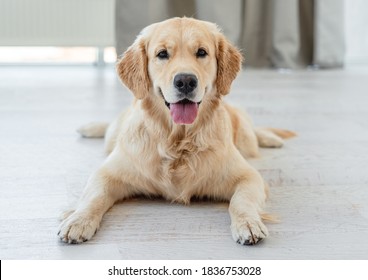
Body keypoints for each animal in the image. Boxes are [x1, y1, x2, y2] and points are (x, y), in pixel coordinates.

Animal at [57, 17, 294, 245]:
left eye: (201, 52)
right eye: (162, 54)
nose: (186, 81)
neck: (178, 140)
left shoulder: (248, 177)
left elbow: (240, 201)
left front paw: (248, 224)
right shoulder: (108, 173)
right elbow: (94, 196)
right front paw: (77, 221)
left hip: (245, 139)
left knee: (253, 132)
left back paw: (270, 137)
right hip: (113, 136)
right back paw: (89, 127)